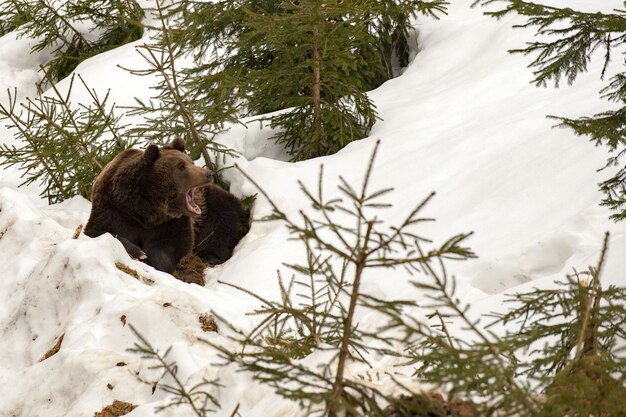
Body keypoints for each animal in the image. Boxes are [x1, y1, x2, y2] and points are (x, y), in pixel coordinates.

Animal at [84, 138, 213, 272]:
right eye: (181, 166)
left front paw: (152, 260)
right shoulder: (114, 211)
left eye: (191, 162)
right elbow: (100, 231)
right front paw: (139, 253)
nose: (208, 173)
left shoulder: (169, 223)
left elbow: (173, 246)